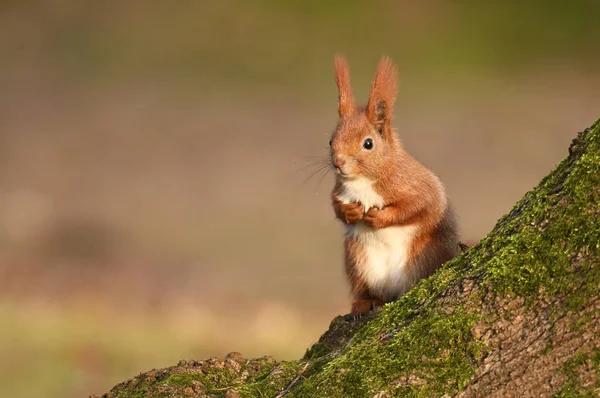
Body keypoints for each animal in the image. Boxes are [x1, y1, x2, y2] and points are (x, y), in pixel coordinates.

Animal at [328, 56, 460, 316]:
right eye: (330, 141)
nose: (338, 162)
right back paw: (365, 302)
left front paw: (379, 218)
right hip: (357, 260)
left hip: (424, 254)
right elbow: (335, 206)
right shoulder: (339, 191)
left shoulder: (417, 185)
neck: (363, 181)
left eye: (368, 143)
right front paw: (351, 212)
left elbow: (418, 206)